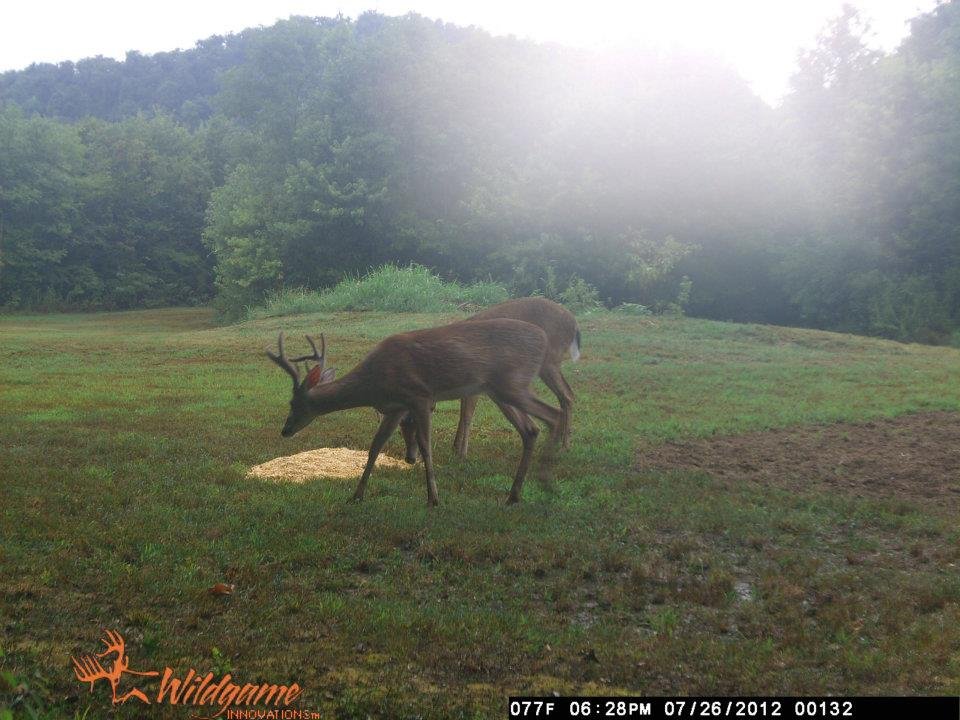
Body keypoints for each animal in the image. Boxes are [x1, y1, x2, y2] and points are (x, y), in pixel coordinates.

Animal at [265, 320, 561, 506]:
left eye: (294, 404)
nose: (285, 430)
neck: (374, 381)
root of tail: (544, 339)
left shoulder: (420, 396)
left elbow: (426, 446)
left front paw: (433, 498)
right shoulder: (396, 407)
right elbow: (375, 447)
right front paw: (356, 495)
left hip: (512, 383)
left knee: (553, 413)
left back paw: (546, 485)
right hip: (499, 390)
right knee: (531, 429)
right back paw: (514, 496)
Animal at [399, 297, 580, 463]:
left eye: (413, 420)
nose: (411, 458)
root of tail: (574, 323)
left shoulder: (476, 384)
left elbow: (467, 415)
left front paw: (461, 453)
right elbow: (463, 412)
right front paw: (455, 447)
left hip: (549, 360)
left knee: (567, 395)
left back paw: (565, 446)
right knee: (564, 395)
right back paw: (559, 442)